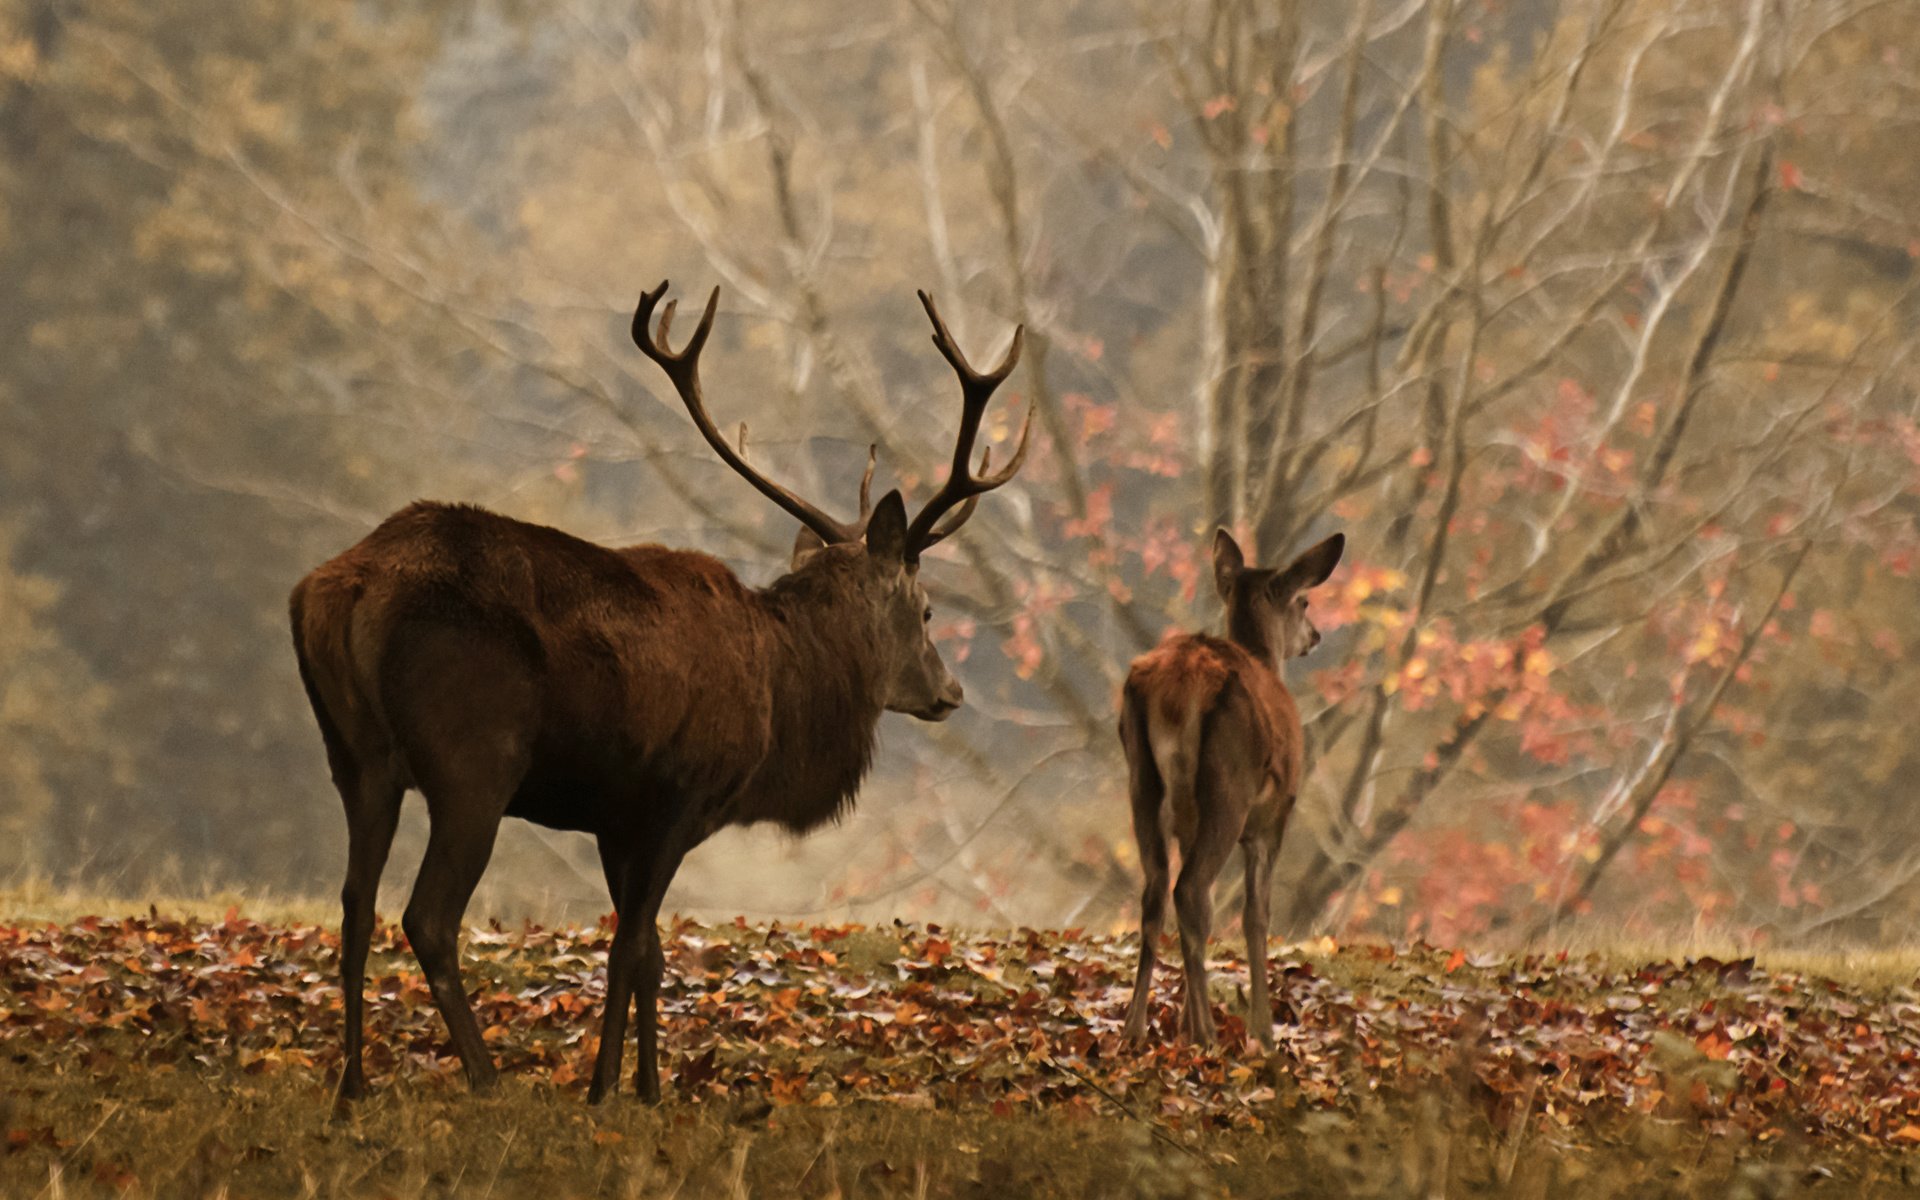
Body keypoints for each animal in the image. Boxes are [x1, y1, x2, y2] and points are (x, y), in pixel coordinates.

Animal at [1121, 529, 1344, 1044]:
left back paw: (1136, 1027)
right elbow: (1255, 916)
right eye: (1304, 600)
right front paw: (1262, 1031)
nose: (1315, 636)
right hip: (1230, 784)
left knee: (1158, 890)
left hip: (1143, 780)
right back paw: (1207, 1033)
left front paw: (1183, 1019)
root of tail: (1180, 687)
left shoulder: (1188, 821)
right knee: (1190, 891)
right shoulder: (1274, 817)